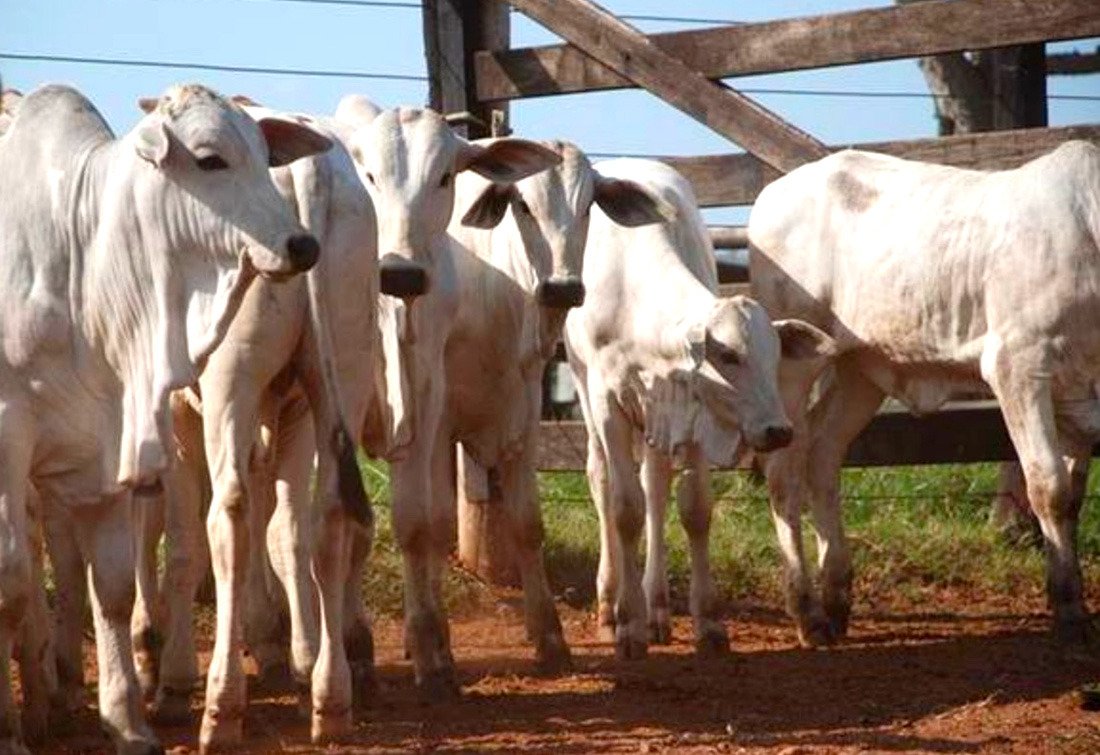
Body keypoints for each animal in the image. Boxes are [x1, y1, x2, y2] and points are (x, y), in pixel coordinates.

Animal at [0, 84, 325, 755]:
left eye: (264, 154)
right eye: (209, 158)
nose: (300, 245)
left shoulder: (119, 442)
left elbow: (109, 580)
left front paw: (120, 709)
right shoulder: (28, 436)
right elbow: (32, 580)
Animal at [336, 100, 563, 699]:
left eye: (444, 175)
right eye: (368, 174)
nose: (401, 272)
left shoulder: (430, 406)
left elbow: (422, 525)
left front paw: (429, 649)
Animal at [444, 140, 673, 669]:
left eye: (588, 205)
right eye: (523, 205)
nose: (562, 286)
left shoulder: (523, 407)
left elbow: (528, 522)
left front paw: (549, 636)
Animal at [567, 160, 831, 660]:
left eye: (774, 356)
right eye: (727, 354)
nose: (779, 431)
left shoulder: (688, 407)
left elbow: (693, 508)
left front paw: (708, 622)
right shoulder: (608, 400)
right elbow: (624, 509)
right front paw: (629, 627)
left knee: (654, 484)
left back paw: (658, 609)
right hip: (582, 385)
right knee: (602, 480)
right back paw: (611, 605)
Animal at [748, 143, 1100, 651]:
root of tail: (774, 194)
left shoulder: (1077, 391)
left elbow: (1072, 496)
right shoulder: (1018, 365)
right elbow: (1048, 486)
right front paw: (1070, 611)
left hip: (860, 368)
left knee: (823, 456)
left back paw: (836, 598)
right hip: (791, 364)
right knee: (783, 472)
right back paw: (807, 612)